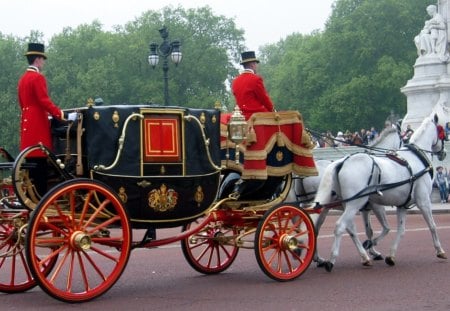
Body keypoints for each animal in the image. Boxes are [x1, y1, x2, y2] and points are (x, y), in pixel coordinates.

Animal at [312, 114, 446, 272]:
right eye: (442, 131)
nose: (443, 153)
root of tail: (342, 162)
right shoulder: (423, 200)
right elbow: (431, 225)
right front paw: (440, 250)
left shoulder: (401, 205)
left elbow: (399, 230)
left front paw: (390, 255)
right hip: (354, 204)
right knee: (339, 226)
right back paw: (331, 260)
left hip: (343, 205)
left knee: (338, 228)